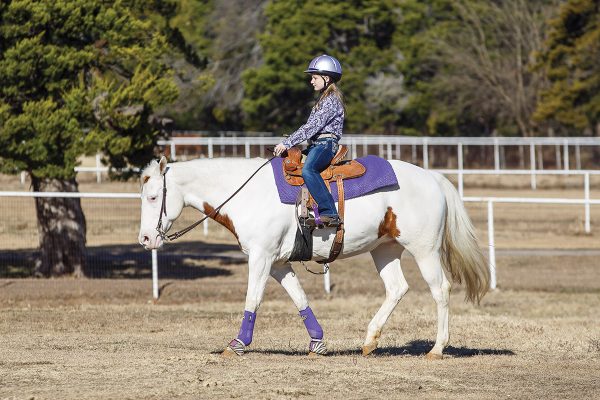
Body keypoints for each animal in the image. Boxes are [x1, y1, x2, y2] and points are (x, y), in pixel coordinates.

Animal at [138, 155, 490, 358]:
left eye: (153, 197)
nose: (145, 239)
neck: (248, 194)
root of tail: (432, 177)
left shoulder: (261, 258)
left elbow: (253, 300)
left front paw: (237, 344)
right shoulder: (278, 264)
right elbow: (300, 299)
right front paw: (317, 343)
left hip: (424, 250)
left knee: (440, 290)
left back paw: (437, 348)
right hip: (384, 249)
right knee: (396, 288)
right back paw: (369, 341)